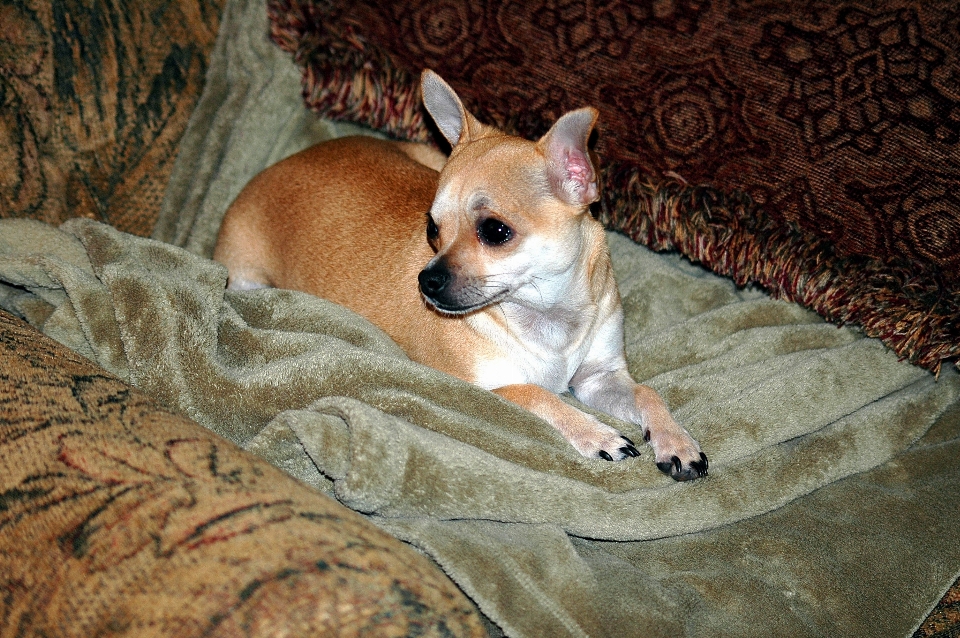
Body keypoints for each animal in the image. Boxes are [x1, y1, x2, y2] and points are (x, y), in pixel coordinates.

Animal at [219, 71, 712, 480]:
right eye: (432, 229)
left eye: (495, 231)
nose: (427, 281)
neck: (546, 315)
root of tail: (276, 168)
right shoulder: (493, 389)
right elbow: (542, 396)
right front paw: (597, 434)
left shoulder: (599, 378)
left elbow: (648, 393)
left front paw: (676, 441)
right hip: (248, 279)